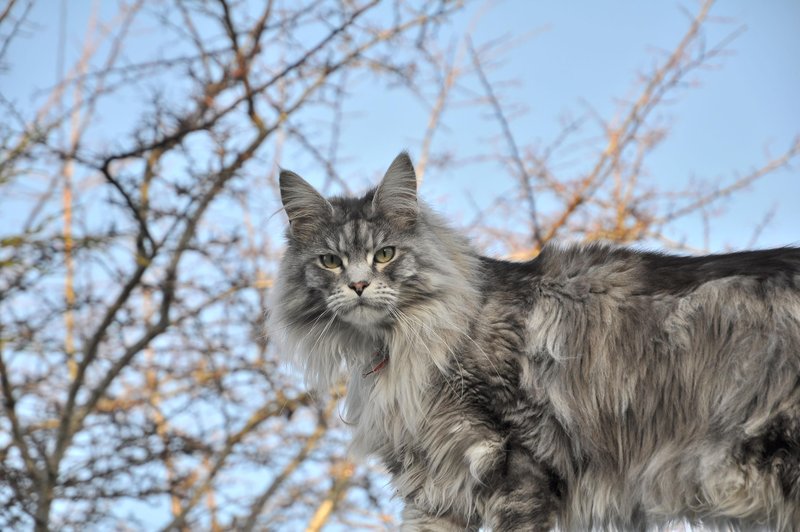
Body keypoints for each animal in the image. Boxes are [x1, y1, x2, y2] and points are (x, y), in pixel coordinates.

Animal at [268, 152, 800, 528]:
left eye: (385, 254)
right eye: (330, 262)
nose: (358, 285)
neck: (406, 345)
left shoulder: (520, 468)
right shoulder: (436, 491)